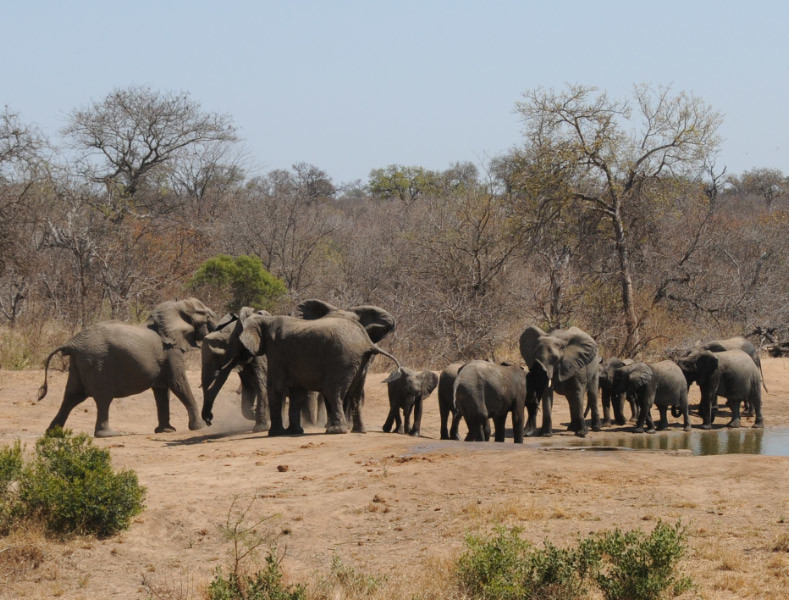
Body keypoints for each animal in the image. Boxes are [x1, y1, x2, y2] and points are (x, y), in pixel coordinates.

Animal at [37, 298, 219, 436]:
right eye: (208, 316)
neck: (176, 306)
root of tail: (72, 344)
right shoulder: (170, 351)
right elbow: (178, 384)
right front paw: (201, 426)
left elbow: (162, 390)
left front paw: (166, 431)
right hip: (96, 362)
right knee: (103, 398)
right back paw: (108, 434)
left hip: (78, 363)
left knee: (71, 396)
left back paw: (52, 433)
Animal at [200, 302, 404, 434]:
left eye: (233, 342)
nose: (209, 420)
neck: (264, 319)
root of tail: (366, 342)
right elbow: (296, 393)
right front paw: (294, 431)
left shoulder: (276, 351)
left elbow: (274, 387)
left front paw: (274, 433)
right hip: (359, 362)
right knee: (354, 393)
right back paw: (358, 431)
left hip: (342, 359)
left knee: (333, 391)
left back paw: (335, 431)